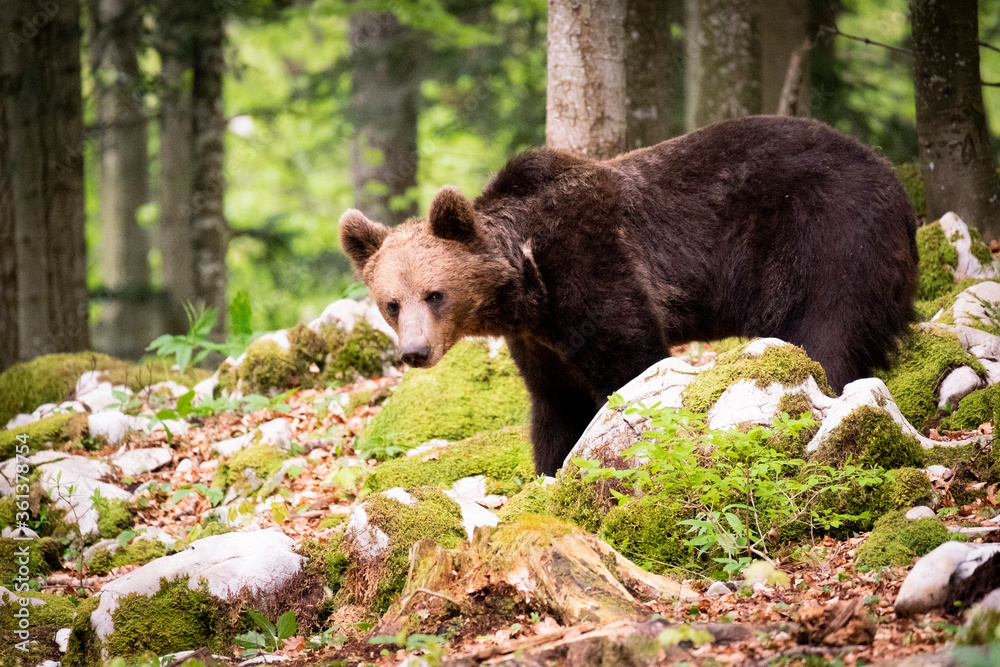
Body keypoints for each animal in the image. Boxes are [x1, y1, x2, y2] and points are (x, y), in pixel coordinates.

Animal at [339, 115, 919, 476]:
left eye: (434, 294)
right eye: (392, 303)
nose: (415, 352)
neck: (528, 284)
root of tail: (890, 174)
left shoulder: (592, 267)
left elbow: (631, 364)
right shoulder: (539, 339)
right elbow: (556, 403)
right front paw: (552, 466)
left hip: (829, 237)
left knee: (829, 331)